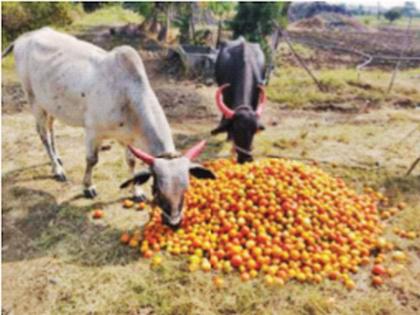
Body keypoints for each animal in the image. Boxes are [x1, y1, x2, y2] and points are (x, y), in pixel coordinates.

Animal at [1, 27, 215, 227]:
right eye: (158, 190)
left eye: (186, 189)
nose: (174, 222)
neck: (128, 97)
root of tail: (26, 36)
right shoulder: (92, 132)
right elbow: (91, 160)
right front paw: (88, 187)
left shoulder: (129, 139)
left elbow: (131, 162)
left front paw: (136, 191)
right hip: (33, 99)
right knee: (42, 133)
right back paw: (57, 168)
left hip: (49, 104)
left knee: (51, 128)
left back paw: (58, 158)